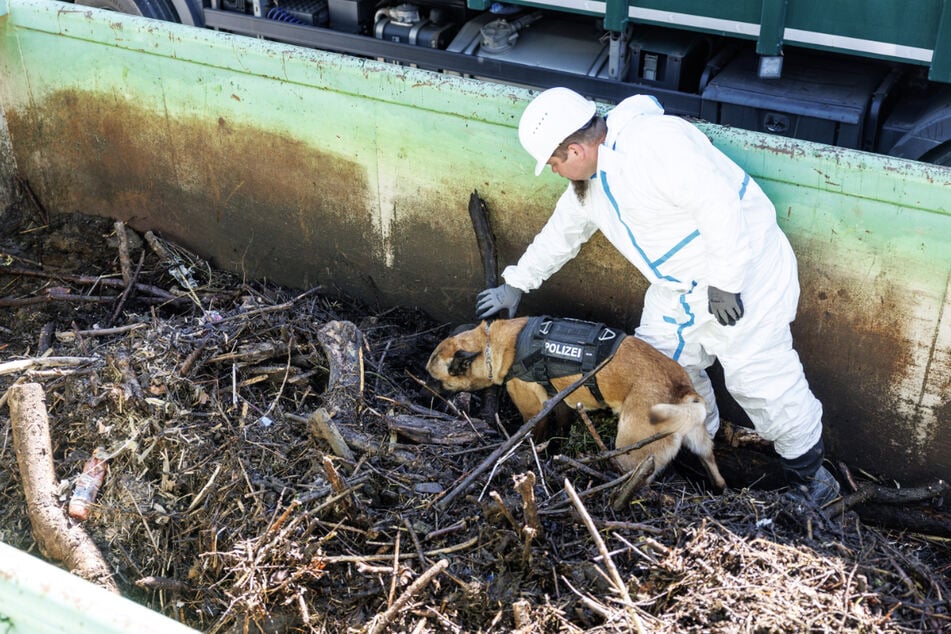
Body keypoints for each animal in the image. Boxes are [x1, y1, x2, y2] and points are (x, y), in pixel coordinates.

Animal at [428, 316, 724, 488]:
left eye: (436, 380)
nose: (425, 394)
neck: (490, 344)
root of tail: (681, 389)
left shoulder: (532, 411)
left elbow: (534, 435)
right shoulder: (559, 402)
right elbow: (560, 425)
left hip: (629, 452)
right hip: (701, 444)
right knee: (715, 472)